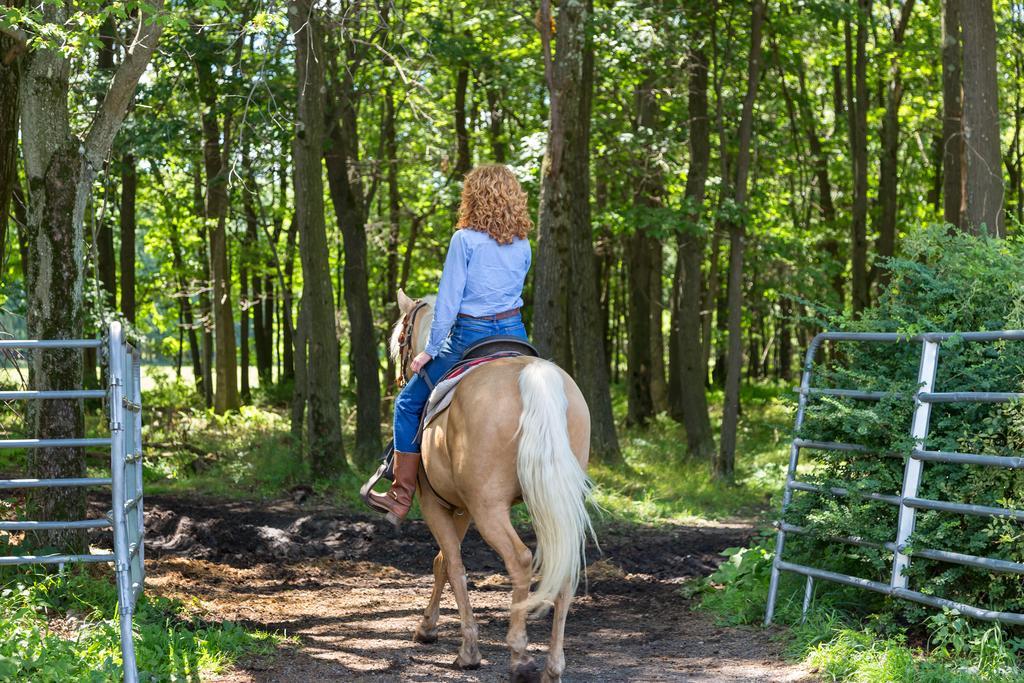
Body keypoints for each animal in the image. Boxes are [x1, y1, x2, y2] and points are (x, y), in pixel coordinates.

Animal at [389, 290, 598, 679]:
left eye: (401, 341)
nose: (402, 373)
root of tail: (532, 375)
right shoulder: (463, 508)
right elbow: (443, 561)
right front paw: (427, 627)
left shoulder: (435, 502)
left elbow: (453, 564)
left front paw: (467, 650)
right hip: (551, 501)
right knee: (564, 567)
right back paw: (553, 666)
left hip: (490, 509)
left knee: (520, 560)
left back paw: (519, 656)